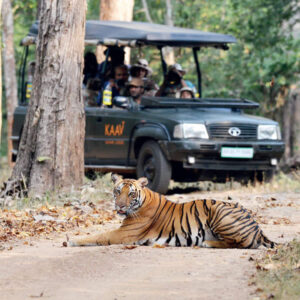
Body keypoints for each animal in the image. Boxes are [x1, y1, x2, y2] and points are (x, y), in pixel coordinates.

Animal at [69, 173, 276, 248]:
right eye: (118, 191)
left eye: (130, 194)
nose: (119, 206)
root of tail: (258, 227)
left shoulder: (124, 234)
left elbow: (99, 236)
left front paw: (71, 240)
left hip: (220, 212)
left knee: (242, 244)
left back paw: (207, 243)